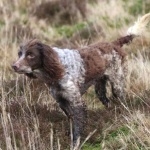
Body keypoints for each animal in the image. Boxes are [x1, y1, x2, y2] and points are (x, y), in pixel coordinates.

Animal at [11, 12, 150, 146]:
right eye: (19, 54)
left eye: (31, 55)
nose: (14, 66)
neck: (57, 70)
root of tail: (114, 43)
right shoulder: (62, 101)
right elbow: (71, 120)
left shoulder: (76, 102)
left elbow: (77, 126)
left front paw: (75, 143)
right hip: (100, 89)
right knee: (108, 102)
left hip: (117, 84)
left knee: (122, 102)